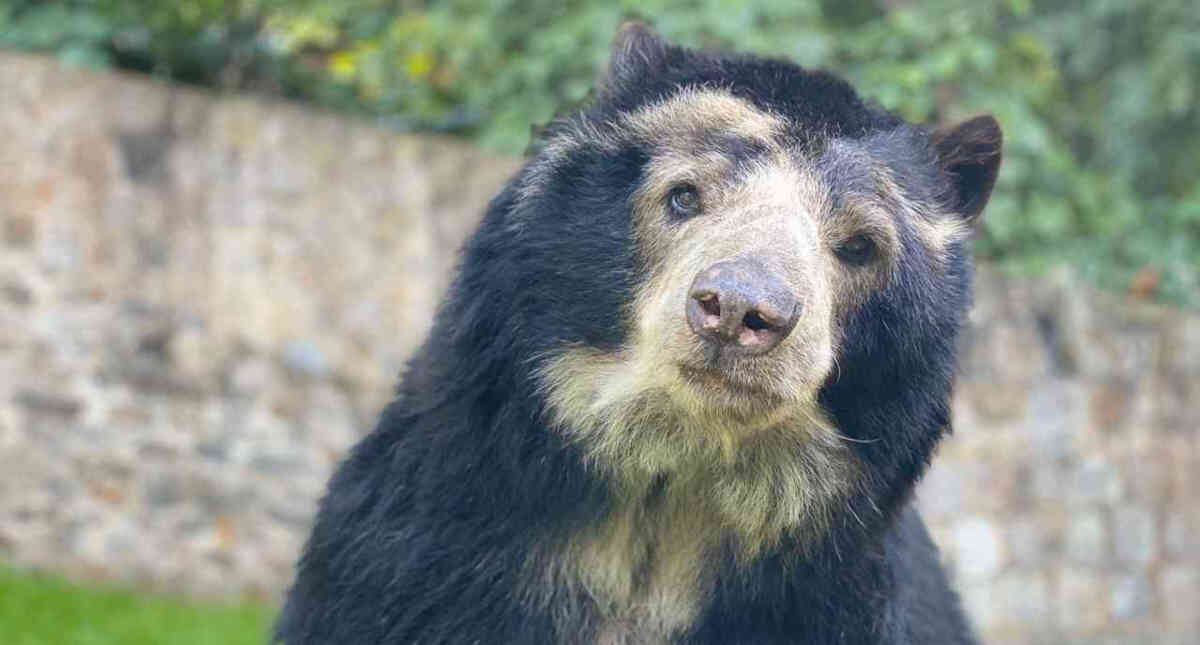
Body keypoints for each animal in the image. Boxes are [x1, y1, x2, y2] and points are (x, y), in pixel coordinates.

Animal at [277, 22, 1001, 645]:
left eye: (859, 246)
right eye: (684, 196)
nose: (739, 310)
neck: (672, 484)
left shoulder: (830, 605)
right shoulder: (415, 555)